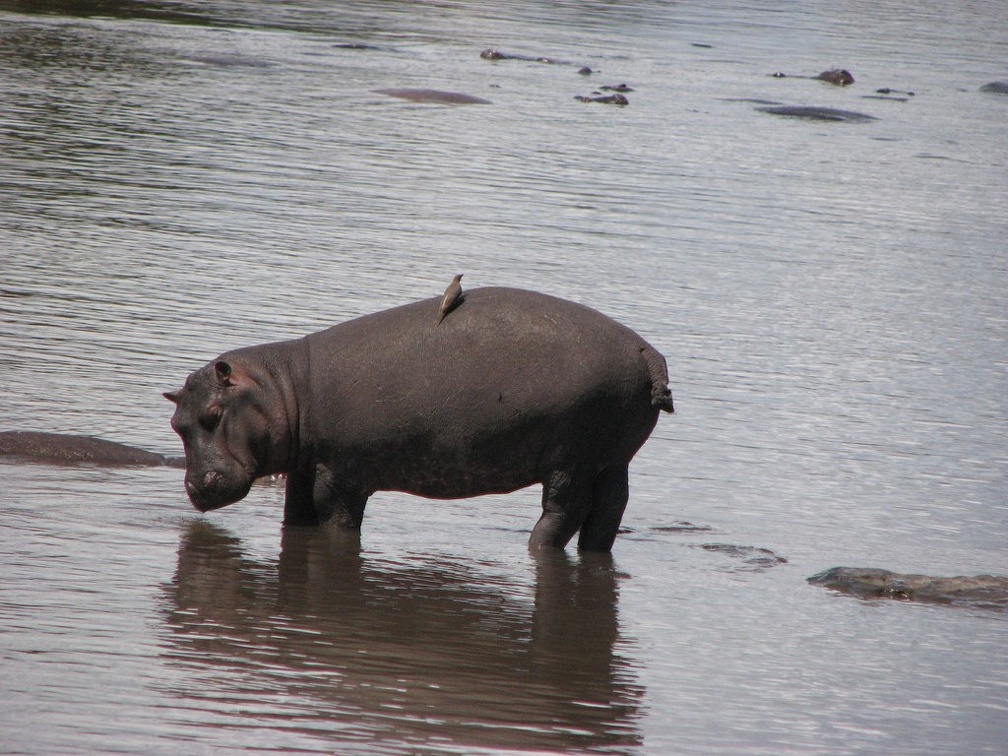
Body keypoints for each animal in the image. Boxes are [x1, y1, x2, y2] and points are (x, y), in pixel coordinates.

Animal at [163, 288, 669, 552]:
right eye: (176, 422)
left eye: (213, 415)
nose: (194, 487)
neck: (283, 387)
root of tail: (645, 351)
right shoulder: (306, 467)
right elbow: (297, 513)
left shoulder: (341, 474)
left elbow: (335, 517)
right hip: (612, 457)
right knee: (609, 510)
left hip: (571, 459)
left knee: (565, 510)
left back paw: (533, 545)